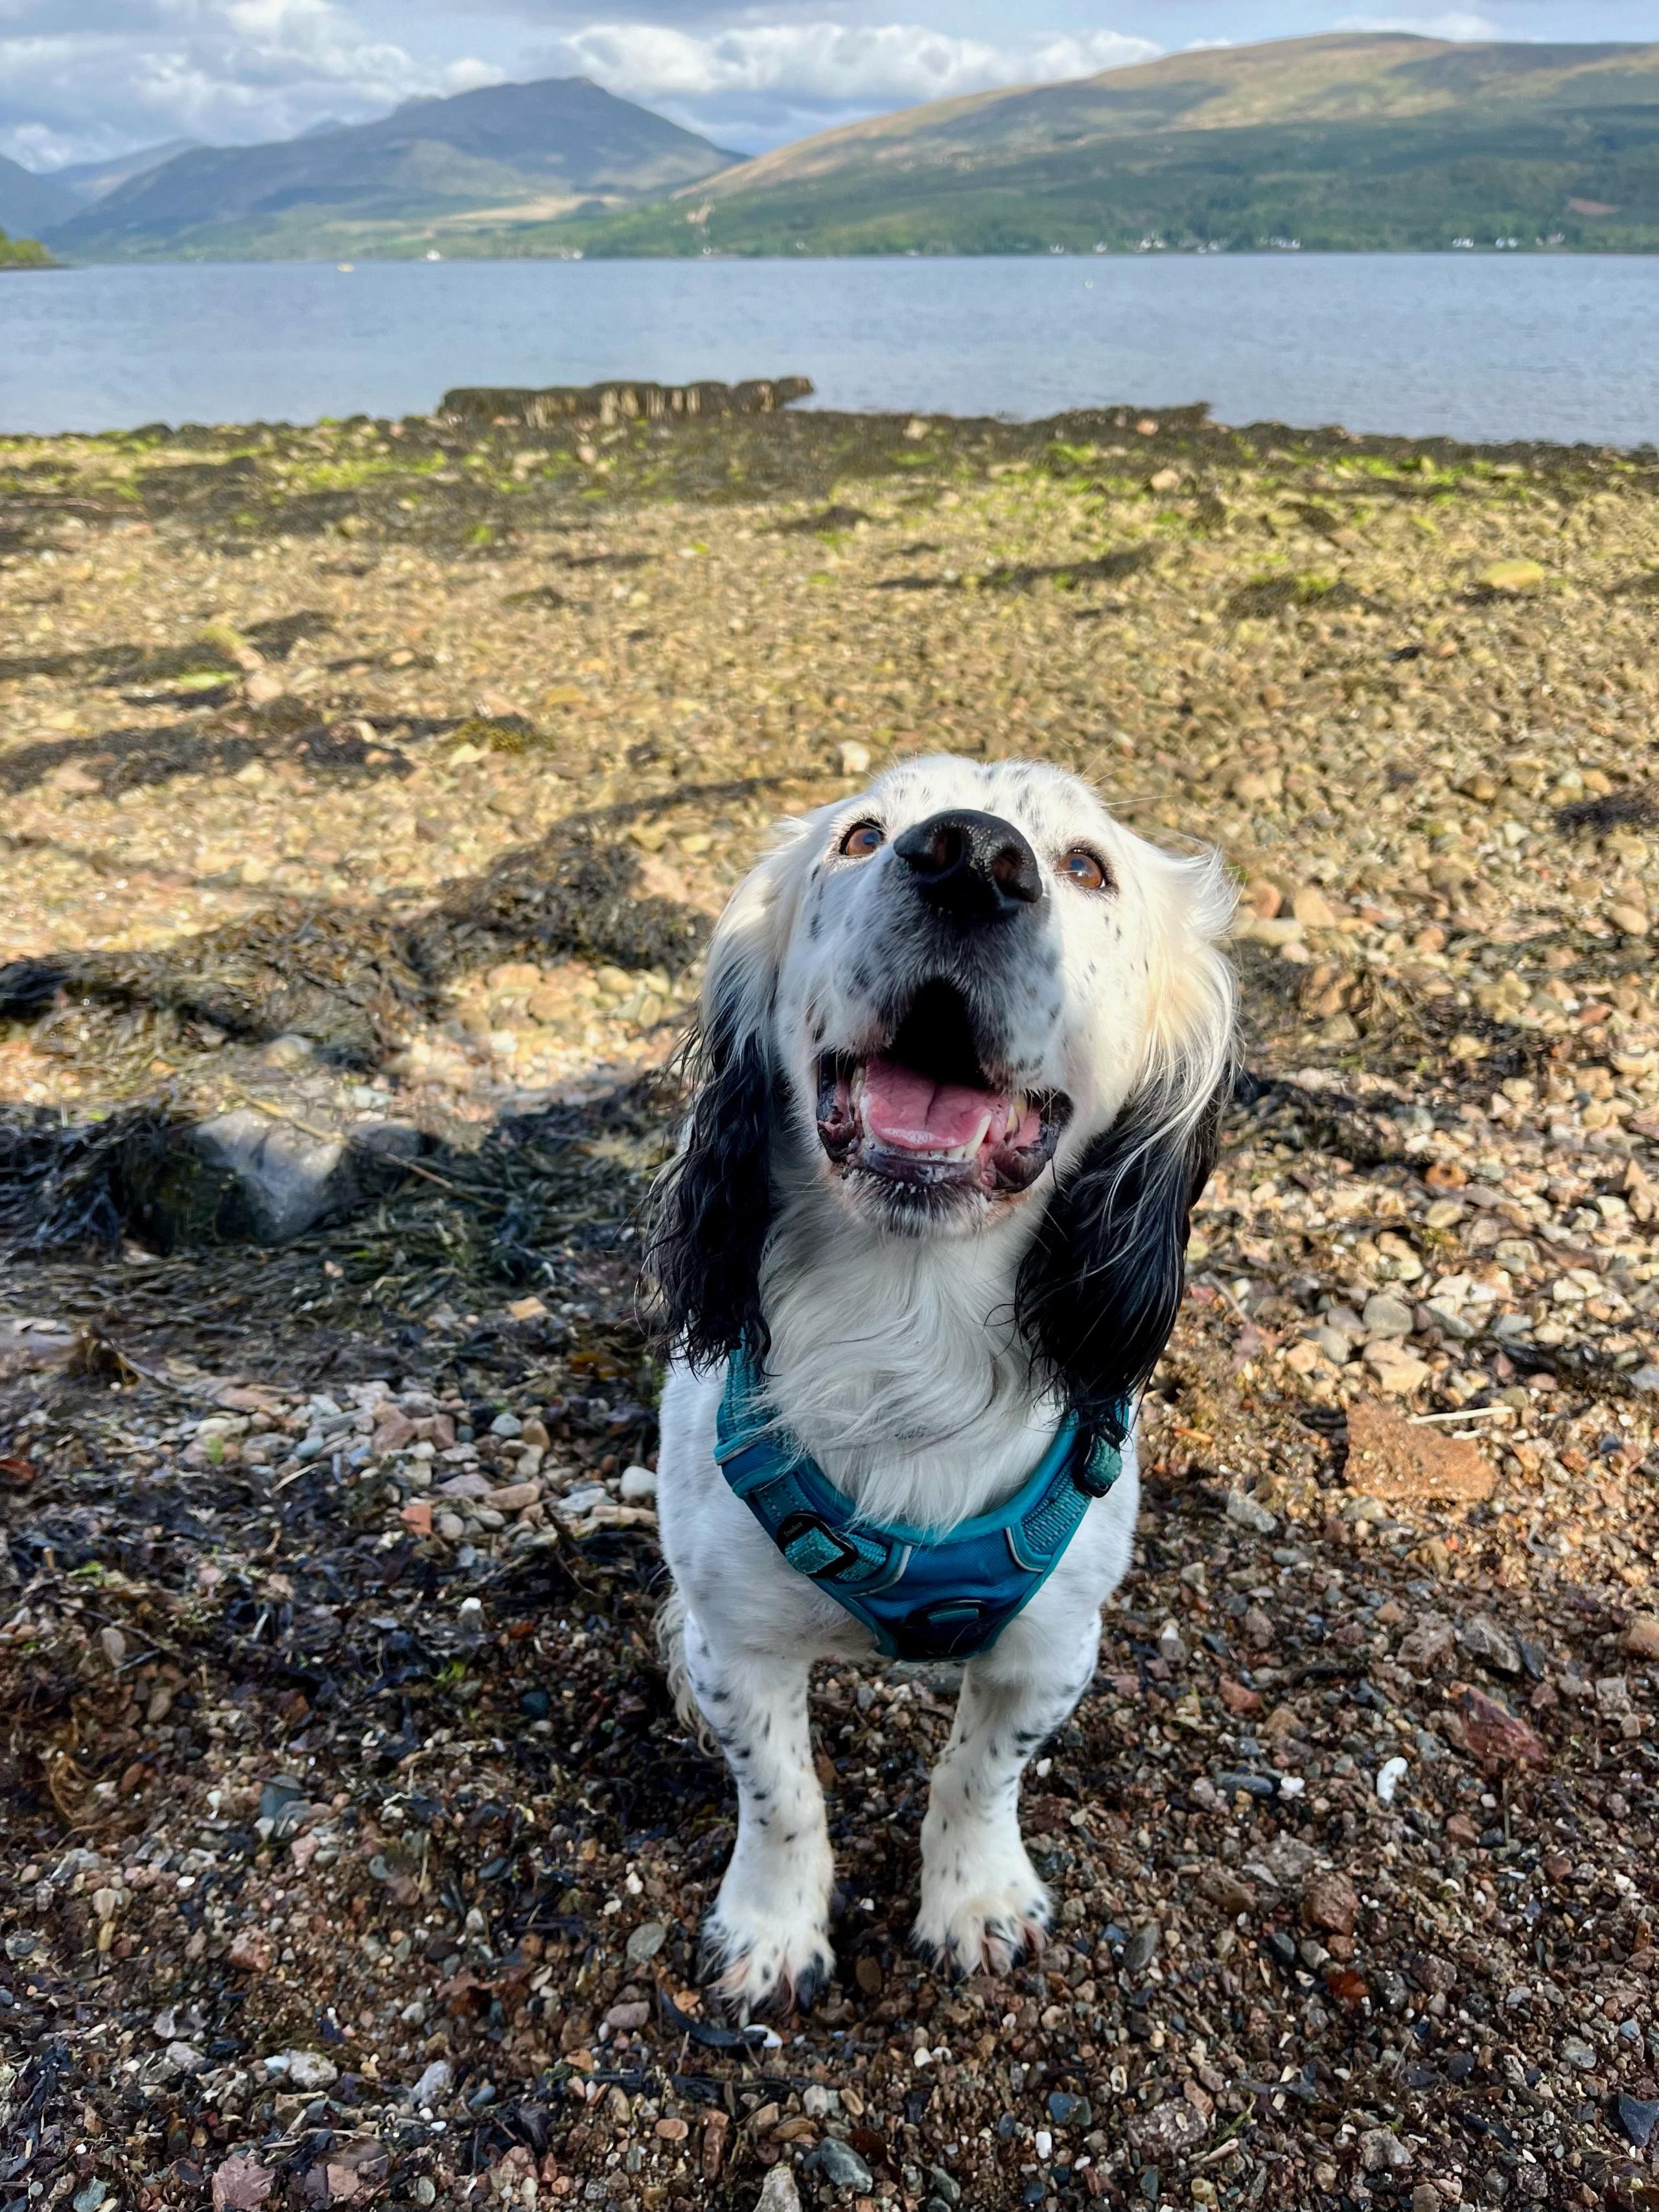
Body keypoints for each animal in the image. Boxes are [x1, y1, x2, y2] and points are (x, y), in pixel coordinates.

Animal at [650, 756, 1238, 2026]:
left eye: (1086, 867)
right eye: (864, 836)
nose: (969, 855)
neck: (906, 1324)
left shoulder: (1051, 1648)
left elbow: (978, 1775)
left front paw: (976, 1901)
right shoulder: (743, 1646)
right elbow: (780, 1790)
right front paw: (771, 1929)